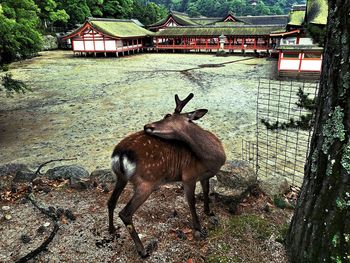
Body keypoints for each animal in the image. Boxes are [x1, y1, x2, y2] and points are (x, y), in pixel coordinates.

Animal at [108, 93, 226, 258]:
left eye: (167, 116)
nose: (147, 126)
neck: (212, 159)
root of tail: (119, 154)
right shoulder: (188, 176)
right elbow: (191, 202)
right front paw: (198, 228)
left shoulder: (204, 176)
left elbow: (206, 191)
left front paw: (208, 212)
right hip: (146, 182)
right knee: (125, 213)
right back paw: (142, 251)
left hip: (120, 177)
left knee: (111, 202)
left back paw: (112, 230)